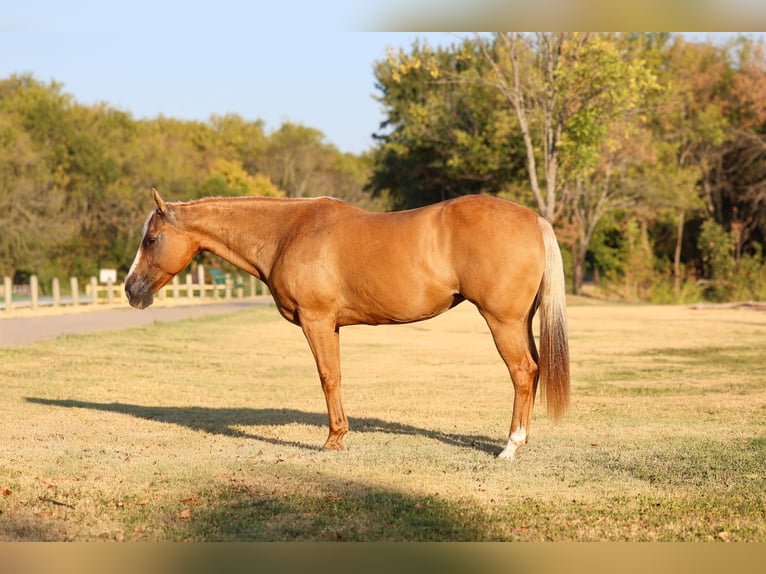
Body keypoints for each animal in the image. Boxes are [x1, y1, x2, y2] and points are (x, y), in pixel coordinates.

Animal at [125, 188, 570, 460]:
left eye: (151, 239)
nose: (131, 290)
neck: (287, 233)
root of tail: (534, 219)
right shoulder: (332, 325)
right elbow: (336, 374)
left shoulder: (317, 320)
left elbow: (328, 376)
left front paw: (334, 439)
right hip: (520, 321)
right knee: (533, 371)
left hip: (502, 321)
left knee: (522, 372)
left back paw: (509, 446)